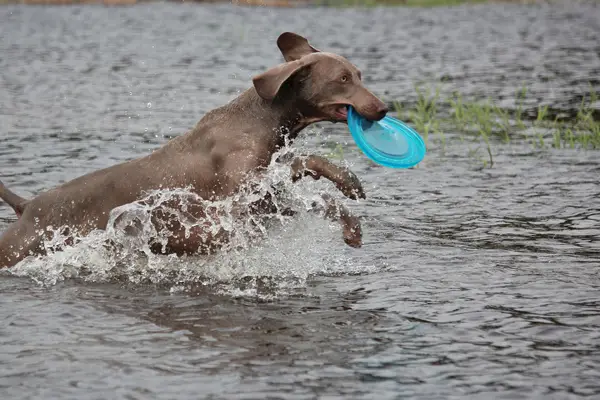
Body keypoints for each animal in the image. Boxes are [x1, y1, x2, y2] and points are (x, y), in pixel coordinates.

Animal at [0, 32, 390, 268]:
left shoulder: (266, 184)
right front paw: (350, 215)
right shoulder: (239, 205)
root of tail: (27, 206)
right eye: (343, 79)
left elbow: (306, 168)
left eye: (359, 74)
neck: (262, 119)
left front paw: (350, 188)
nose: (384, 108)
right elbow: (314, 191)